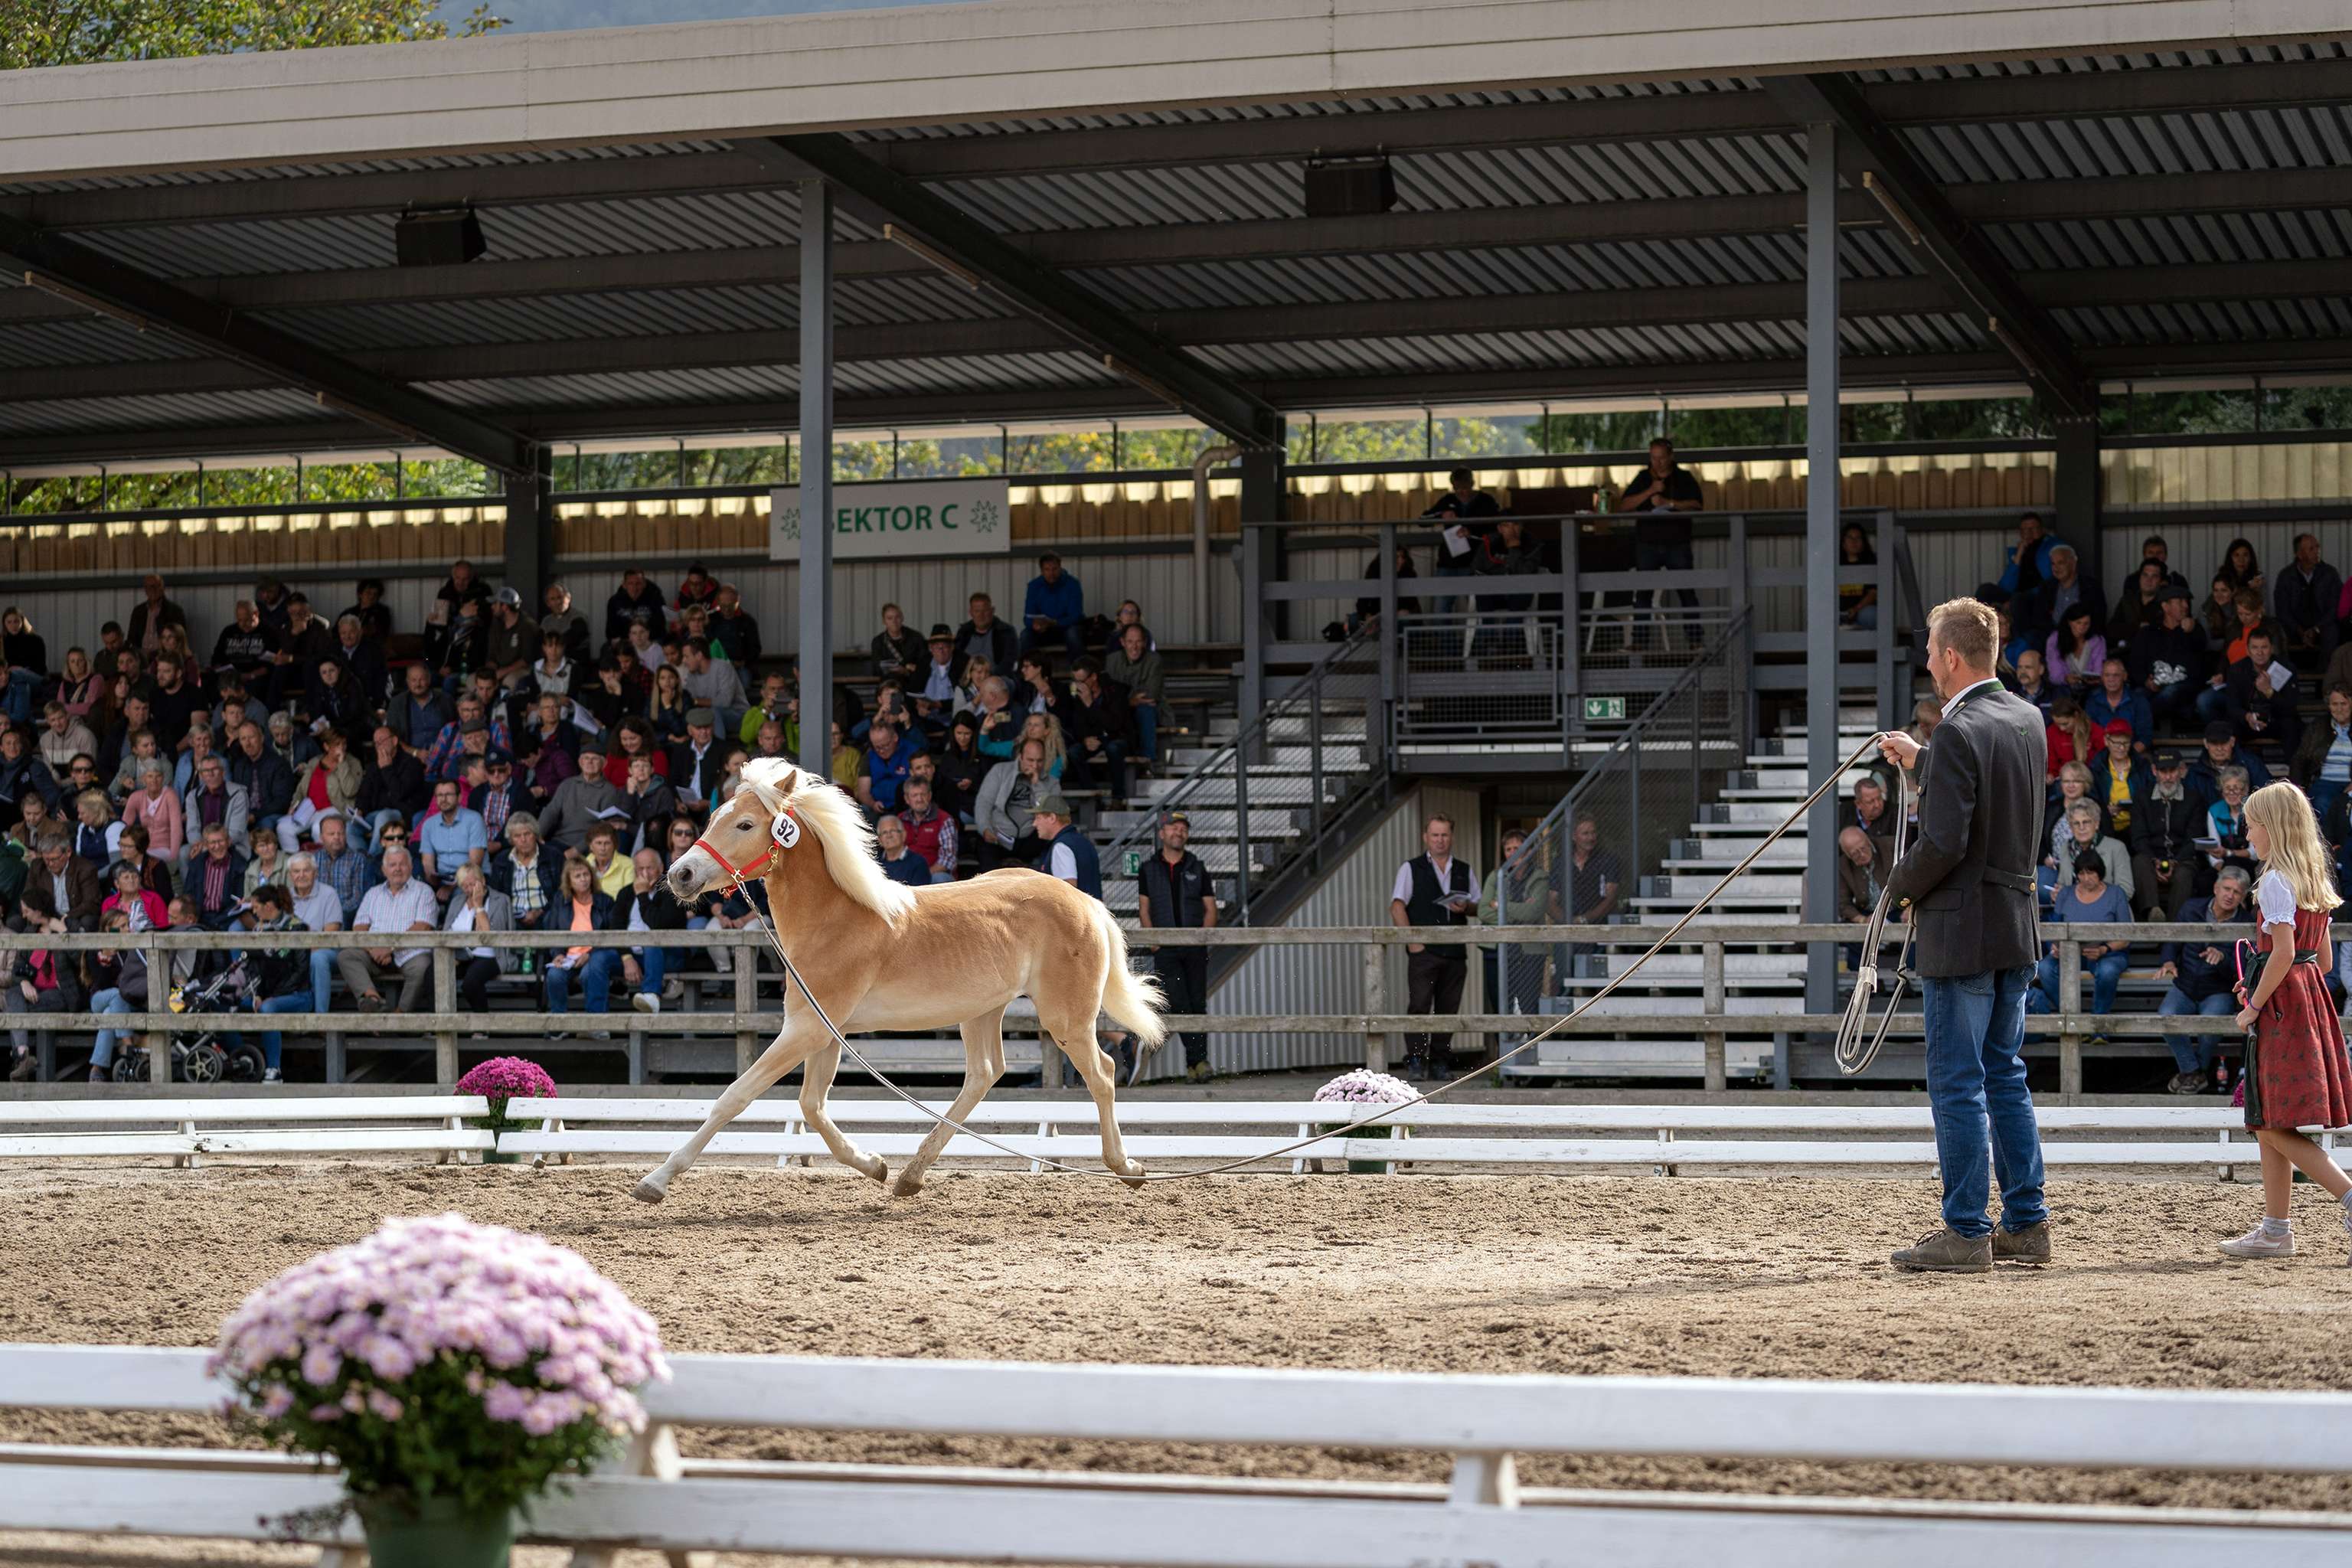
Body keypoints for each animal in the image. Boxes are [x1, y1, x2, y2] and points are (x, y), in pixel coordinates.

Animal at [640, 758, 1166, 1201]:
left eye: (746, 825)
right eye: (714, 818)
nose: (680, 875)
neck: (833, 920)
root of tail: (1085, 902)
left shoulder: (805, 1030)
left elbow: (735, 1097)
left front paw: (656, 1181)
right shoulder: (824, 1030)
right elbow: (812, 1105)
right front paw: (874, 1165)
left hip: (1066, 1019)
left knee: (1103, 1074)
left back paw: (1127, 1168)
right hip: (981, 1011)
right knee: (984, 1073)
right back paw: (910, 1175)